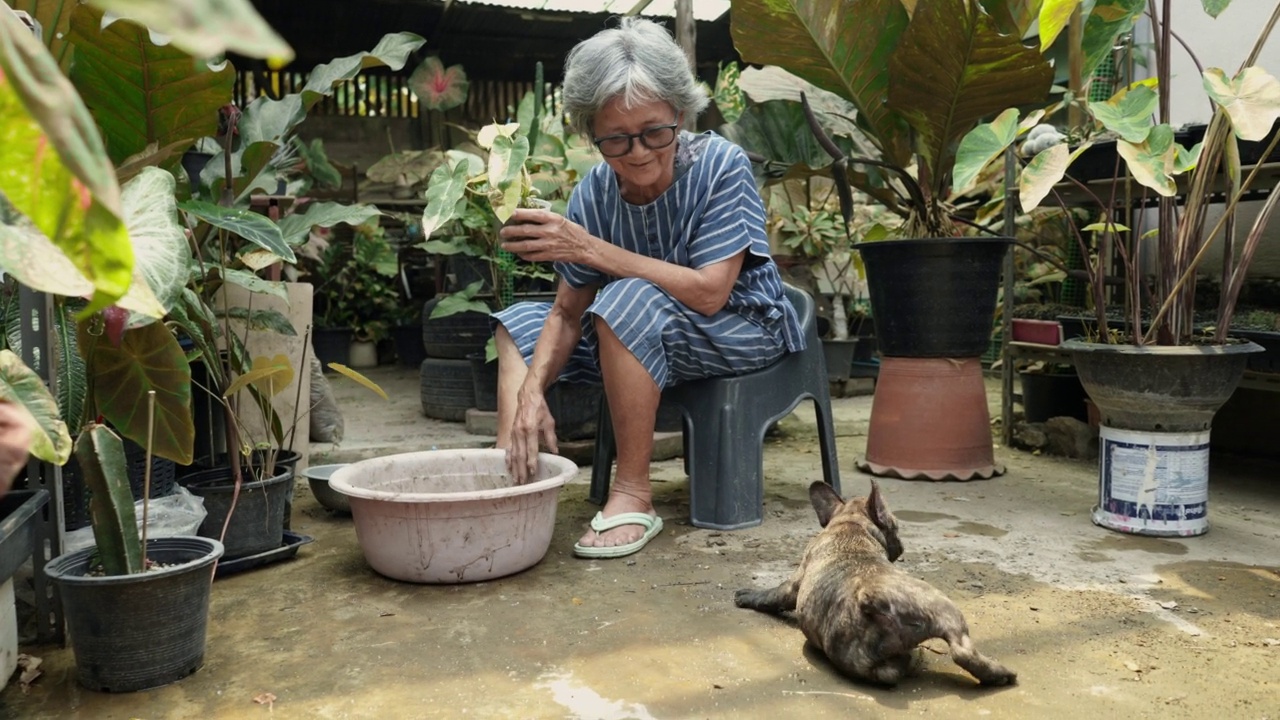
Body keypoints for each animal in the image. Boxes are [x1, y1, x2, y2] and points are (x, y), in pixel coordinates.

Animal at [737, 479, 1013, 681]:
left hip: (861, 661)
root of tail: (869, 600)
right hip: (944, 607)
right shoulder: (792, 584)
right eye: (895, 526)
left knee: (894, 670)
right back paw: (1000, 673)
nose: (901, 544)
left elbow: (773, 594)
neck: (851, 524)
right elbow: (774, 594)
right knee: (961, 650)